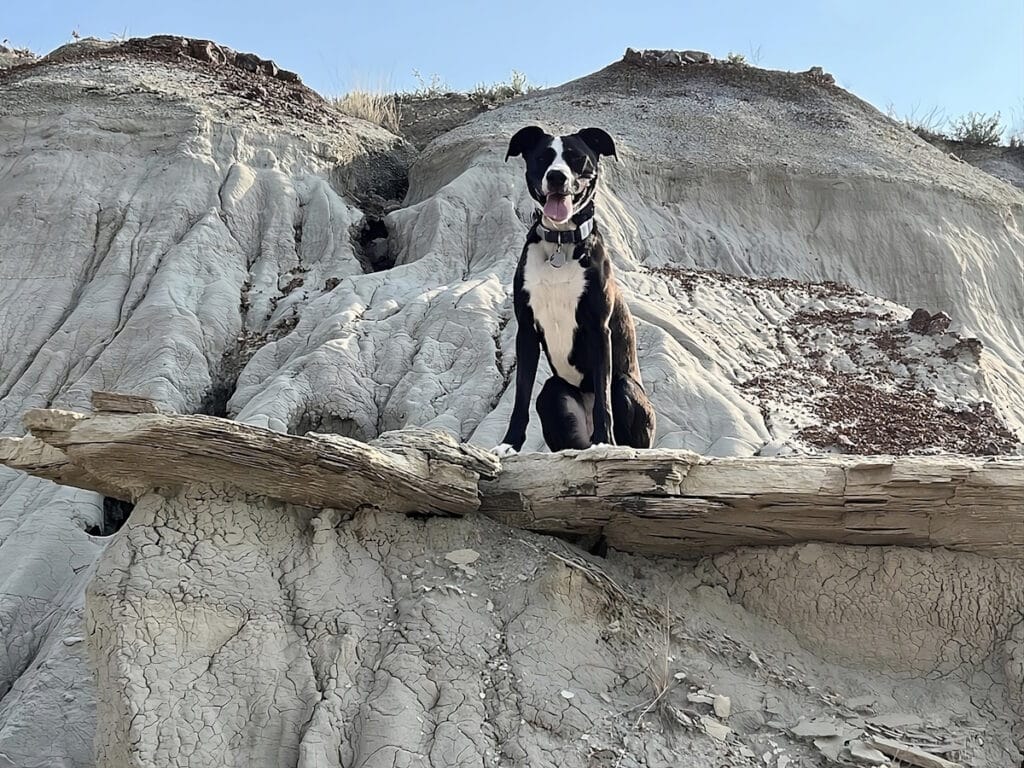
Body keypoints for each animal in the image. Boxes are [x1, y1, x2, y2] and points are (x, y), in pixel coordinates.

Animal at [489, 122, 651, 454]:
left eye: (577, 158)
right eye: (543, 158)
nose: (557, 176)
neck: (561, 243)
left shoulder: (599, 329)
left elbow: (603, 400)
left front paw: (605, 441)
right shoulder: (526, 331)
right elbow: (520, 397)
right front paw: (509, 443)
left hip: (625, 385)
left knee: (616, 397)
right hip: (552, 393)